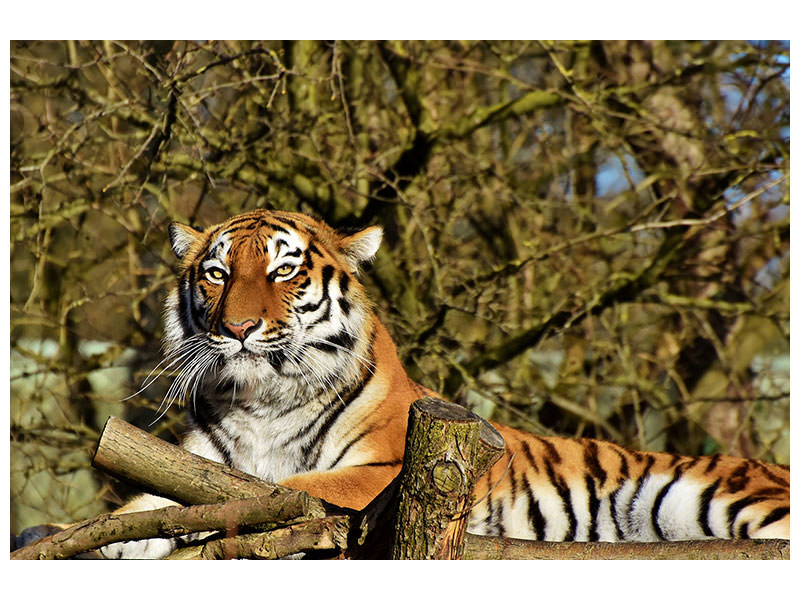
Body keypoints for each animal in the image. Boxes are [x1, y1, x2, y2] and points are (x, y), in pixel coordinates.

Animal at [16, 209, 790, 558]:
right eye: (216, 273)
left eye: (283, 270)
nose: (236, 328)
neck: (260, 403)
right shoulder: (187, 463)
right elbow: (134, 507)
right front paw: (65, 532)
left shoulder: (378, 470)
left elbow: (278, 491)